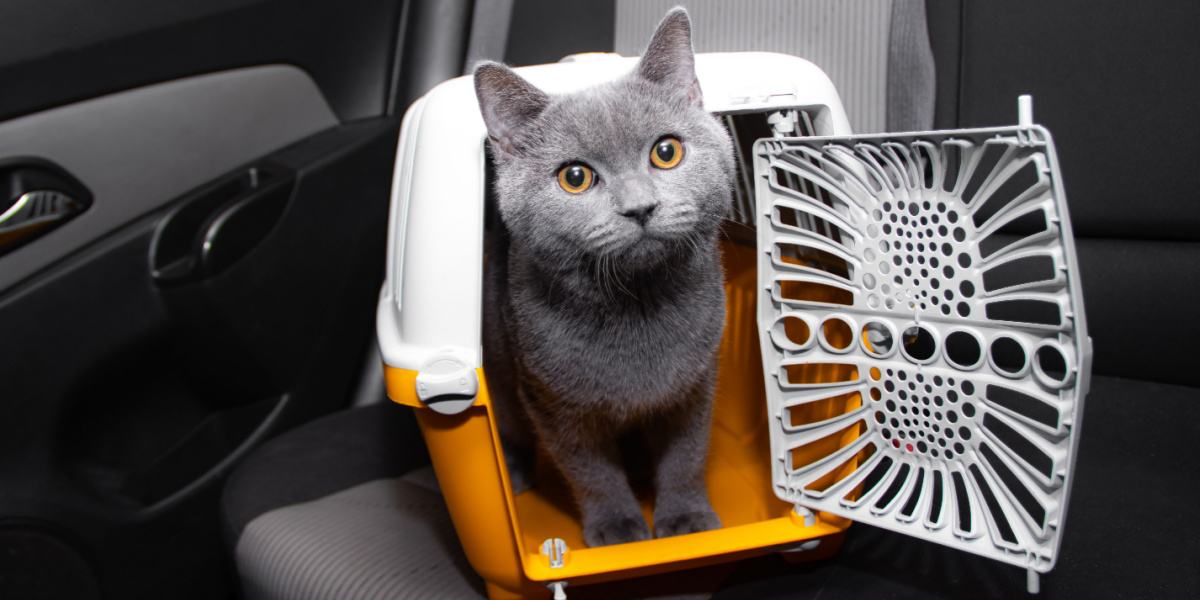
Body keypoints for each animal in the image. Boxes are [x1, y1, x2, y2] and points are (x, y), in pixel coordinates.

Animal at [472, 8, 734, 549]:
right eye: (575, 177)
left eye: (666, 152)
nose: (640, 207)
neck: (637, 304)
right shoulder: (553, 403)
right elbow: (591, 471)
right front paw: (617, 529)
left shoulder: (698, 384)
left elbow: (686, 454)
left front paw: (686, 519)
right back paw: (516, 471)